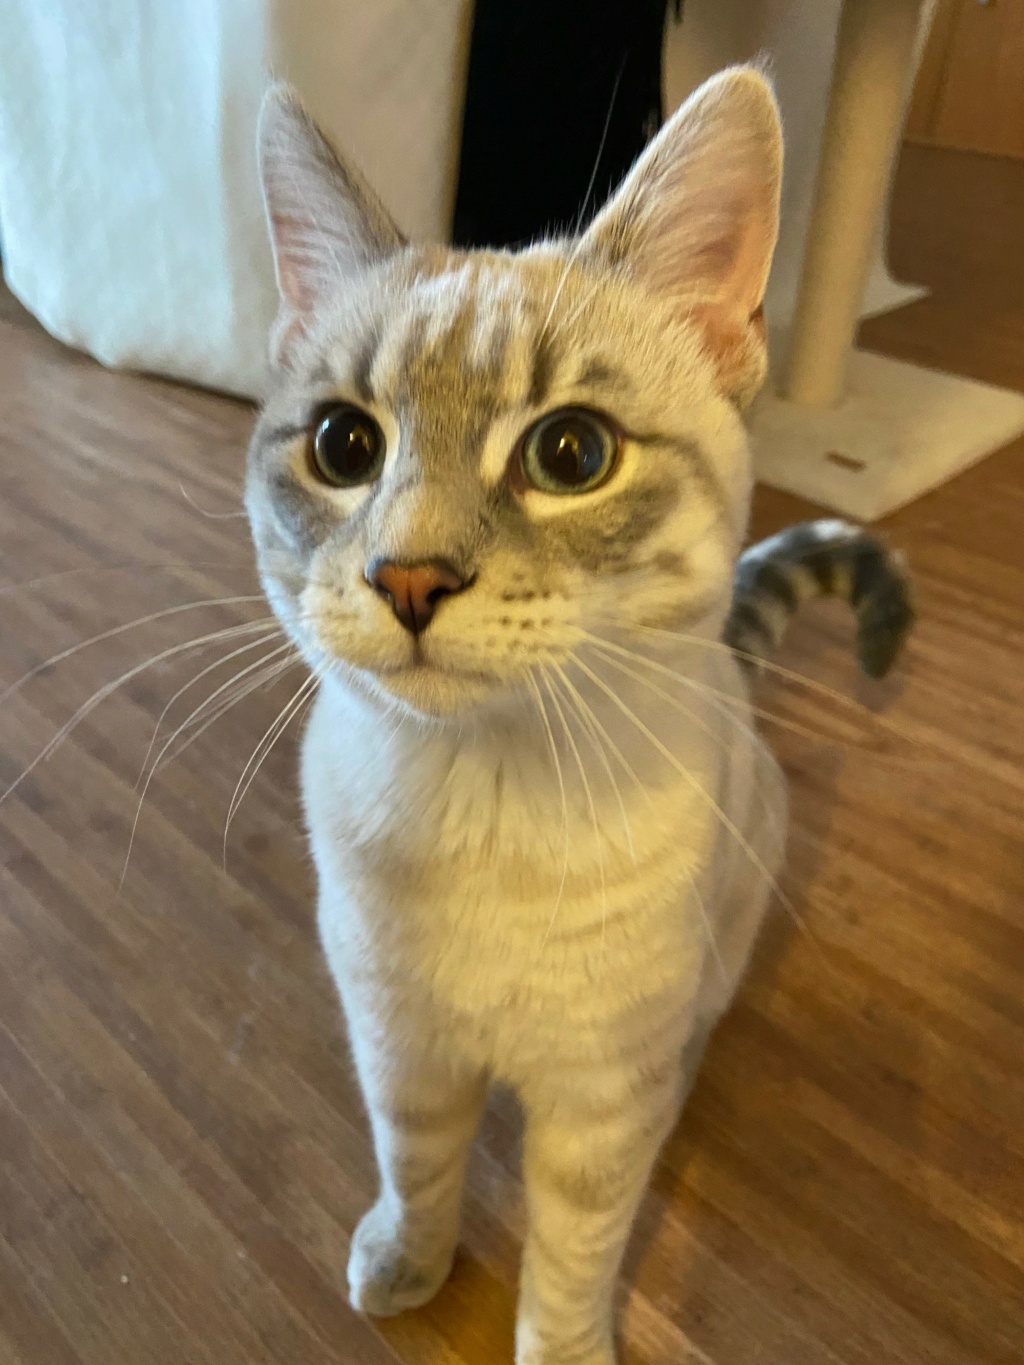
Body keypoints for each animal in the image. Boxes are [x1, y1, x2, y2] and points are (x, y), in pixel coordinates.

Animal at [247, 66, 912, 1365]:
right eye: (345, 446)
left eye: (569, 452)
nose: (409, 579)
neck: (481, 809)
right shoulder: (401, 1047)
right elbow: (418, 1173)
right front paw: (407, 1269)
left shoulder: (598, 1112)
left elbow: (566, 1265)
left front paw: (558, 1348)